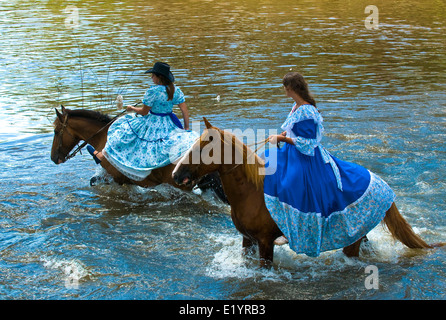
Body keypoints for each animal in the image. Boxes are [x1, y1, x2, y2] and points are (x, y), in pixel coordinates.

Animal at [172, 117, 438, 268]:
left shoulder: (265, 243)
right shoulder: (247, 240)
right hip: (360, 234)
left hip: (351, 241)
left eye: (204, 147)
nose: (176, 174)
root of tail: (383, 185)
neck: (251, 193)